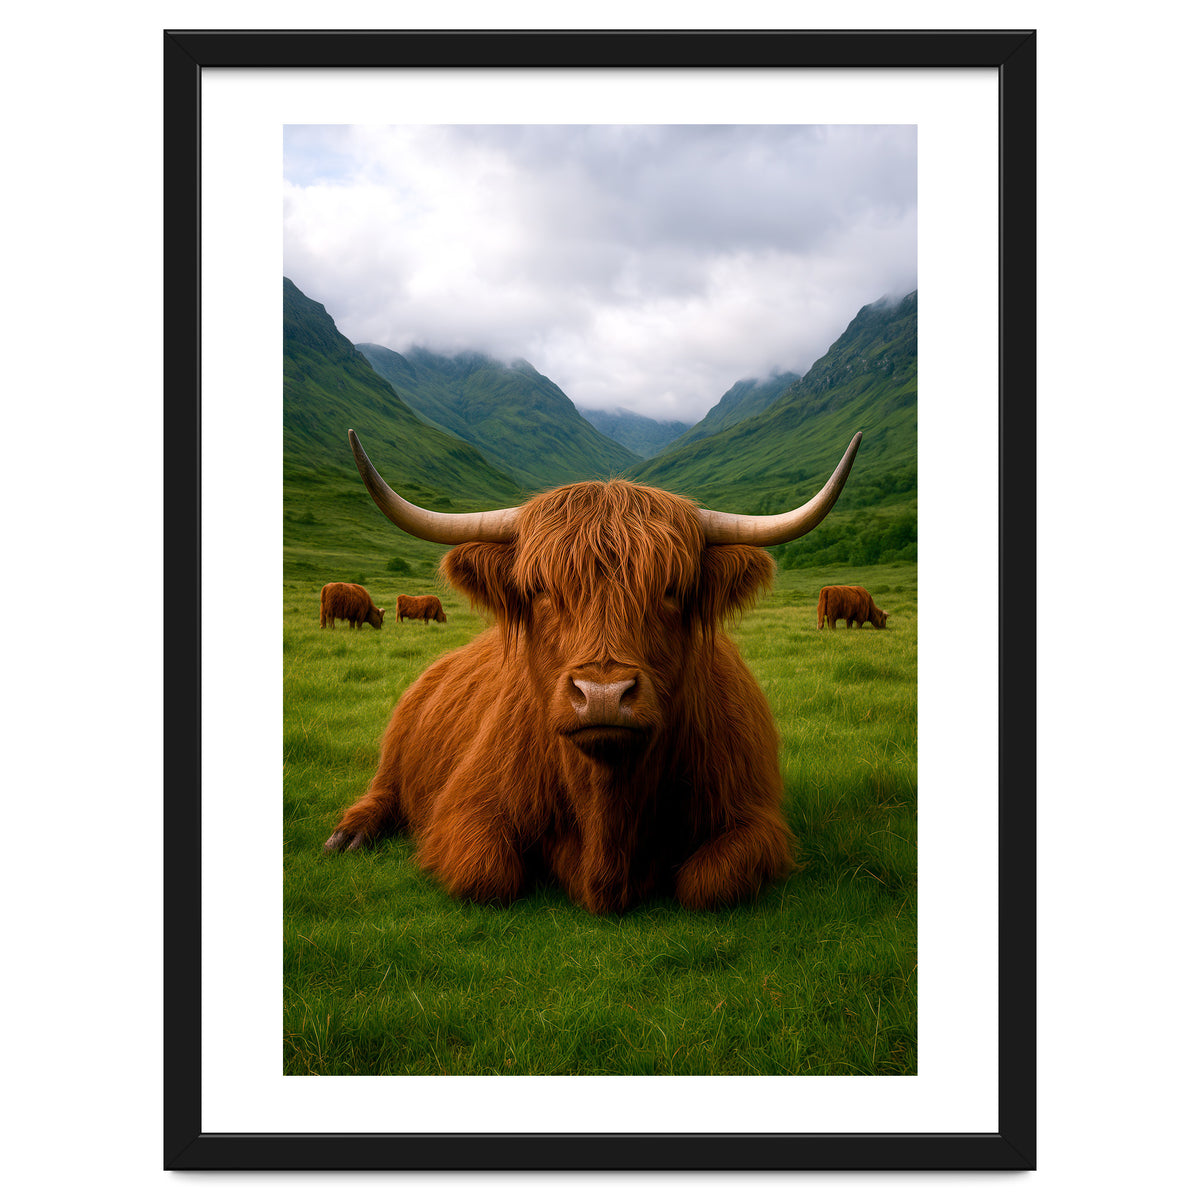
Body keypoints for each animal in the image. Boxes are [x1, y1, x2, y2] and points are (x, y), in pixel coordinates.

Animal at [325, 428, 862, 914]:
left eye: (672, 590)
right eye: (540, 589)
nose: (603, 695)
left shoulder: (754, 819)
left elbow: (708, 883)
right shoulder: (465, 808)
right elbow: (487, 874)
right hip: (397, 748)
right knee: (383, 790)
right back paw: (348, 835)